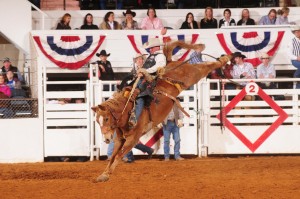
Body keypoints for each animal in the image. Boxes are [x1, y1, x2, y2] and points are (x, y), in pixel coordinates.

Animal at [91, 40, 232, 182]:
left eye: (106, 118)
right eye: (97, 121)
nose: (106, 139)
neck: (127, 110)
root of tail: (169, 62)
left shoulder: (133, 139)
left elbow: (119, 155)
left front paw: (106, 174)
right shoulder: (120, 139)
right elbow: (113, 155)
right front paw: (103, 174)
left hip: (192, 74)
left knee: (206, 66)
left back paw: (225, 58)